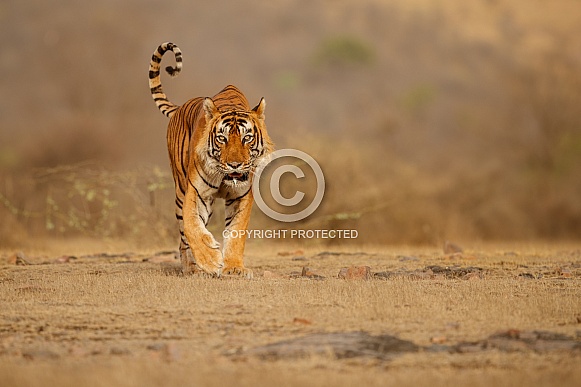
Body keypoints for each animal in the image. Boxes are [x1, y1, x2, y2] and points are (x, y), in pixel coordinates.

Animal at [146, 41, 270, 278]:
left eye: (247, 138)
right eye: (222, 138)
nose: (234, 165)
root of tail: (179, 108)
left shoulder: (242, 196)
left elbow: (236, 232)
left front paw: (234, 268)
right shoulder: (196, 192)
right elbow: (192, 227)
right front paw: (211, 260)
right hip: (180, 189)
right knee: (183, 235)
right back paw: (192, 268)